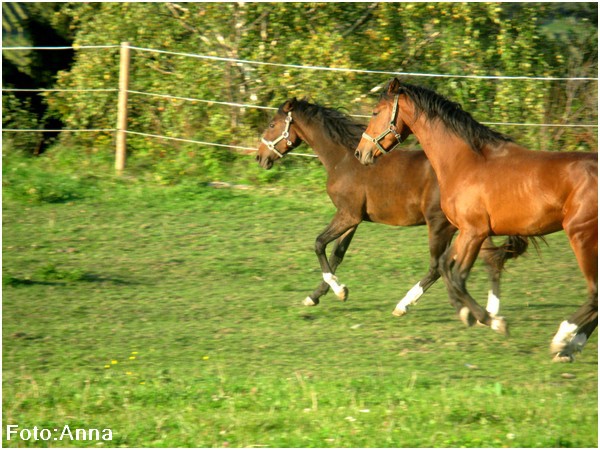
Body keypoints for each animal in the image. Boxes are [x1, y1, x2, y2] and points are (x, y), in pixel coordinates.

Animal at [253, 97, 528, 318]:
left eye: (272, 124)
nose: (260, 157)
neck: (343, 159)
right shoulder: (353, 219)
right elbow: (337, 254)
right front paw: (317, 296)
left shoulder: (347, 215)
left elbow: (319, 244)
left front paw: (338, 290)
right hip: (472, 229)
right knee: (490, 260)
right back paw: (491, 313)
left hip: (442, 226)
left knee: (437, 266)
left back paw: (404, 305)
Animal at [354, 76, 596, 358]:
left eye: (375, 112)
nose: (360, 153)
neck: (465, 161)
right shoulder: (467, 232)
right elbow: (445, 266)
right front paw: (466, 313)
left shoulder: (474, 232)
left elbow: (457, 276)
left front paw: (492, 321)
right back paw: (571, 345)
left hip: (581, 236)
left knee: (594, 293)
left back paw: (563, 340)